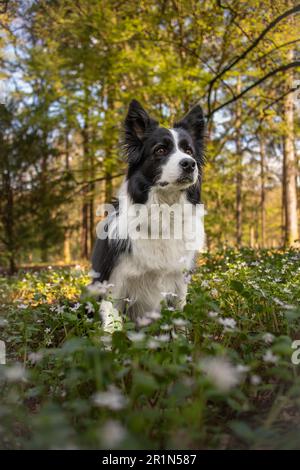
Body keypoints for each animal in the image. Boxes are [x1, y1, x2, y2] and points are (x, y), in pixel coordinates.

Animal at [89, 99, 206, 320]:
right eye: (160, 150)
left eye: (189, 151)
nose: (190, 164)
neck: (164, 210)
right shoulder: (116, 283)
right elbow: (112, 321)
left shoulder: (179, 280)